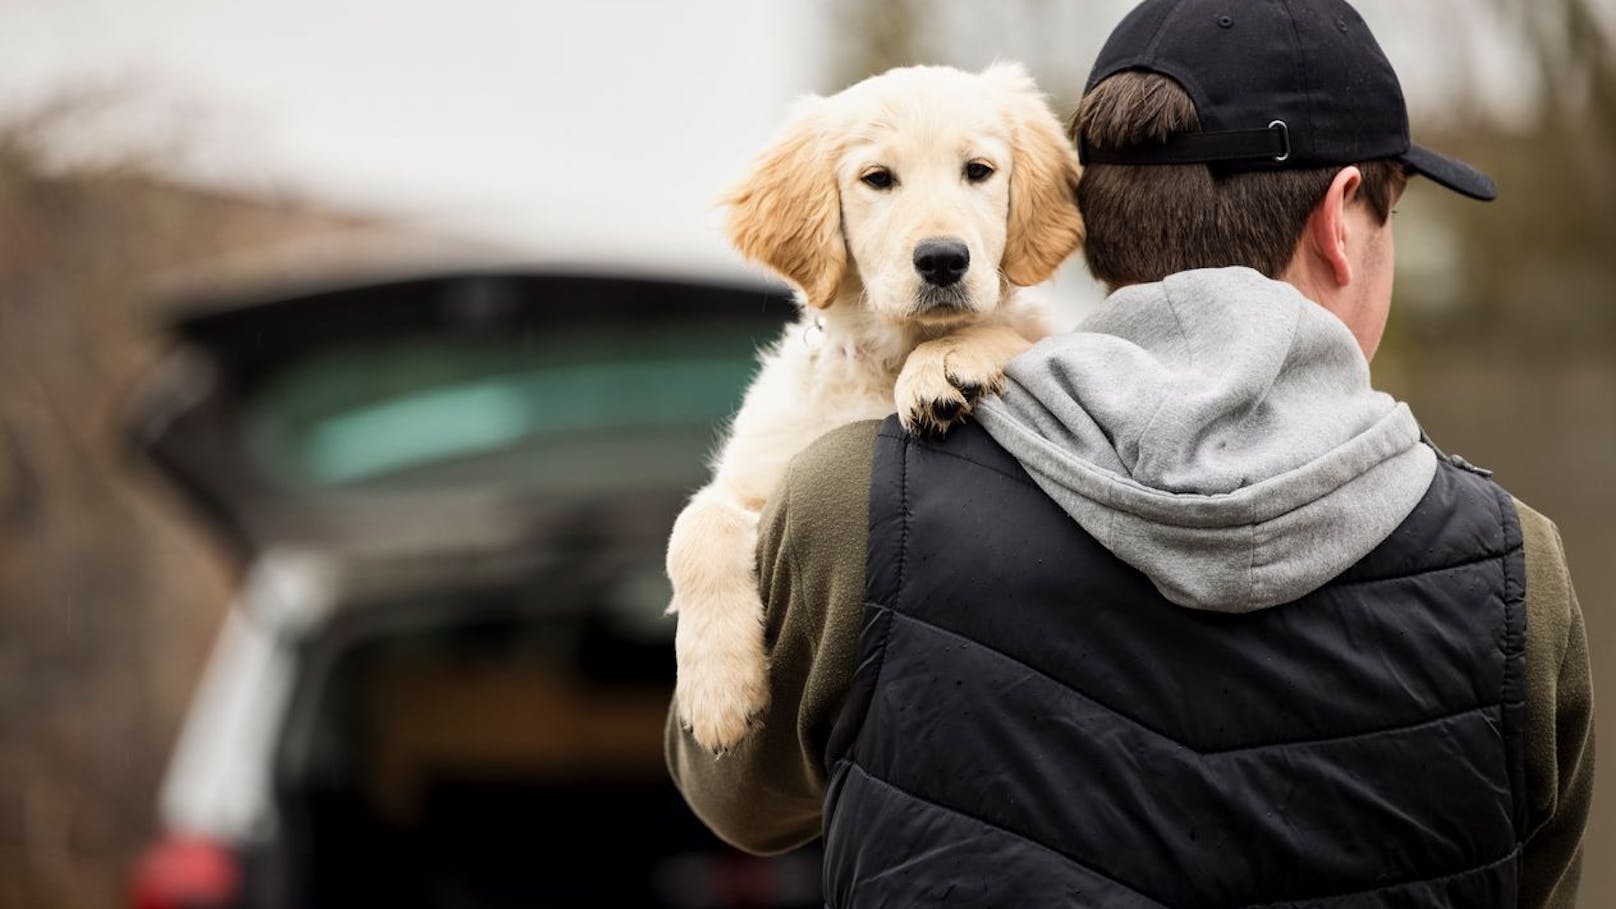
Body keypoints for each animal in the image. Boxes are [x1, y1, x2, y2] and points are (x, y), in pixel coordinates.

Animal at [669, 60, 1085, 747]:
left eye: (978, 170)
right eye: (877, 179)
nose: (943, 259)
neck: (886, 357)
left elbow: (1014, 332)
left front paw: (946, 363)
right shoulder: (758, 476)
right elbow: (694, 527)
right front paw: (718, 693)